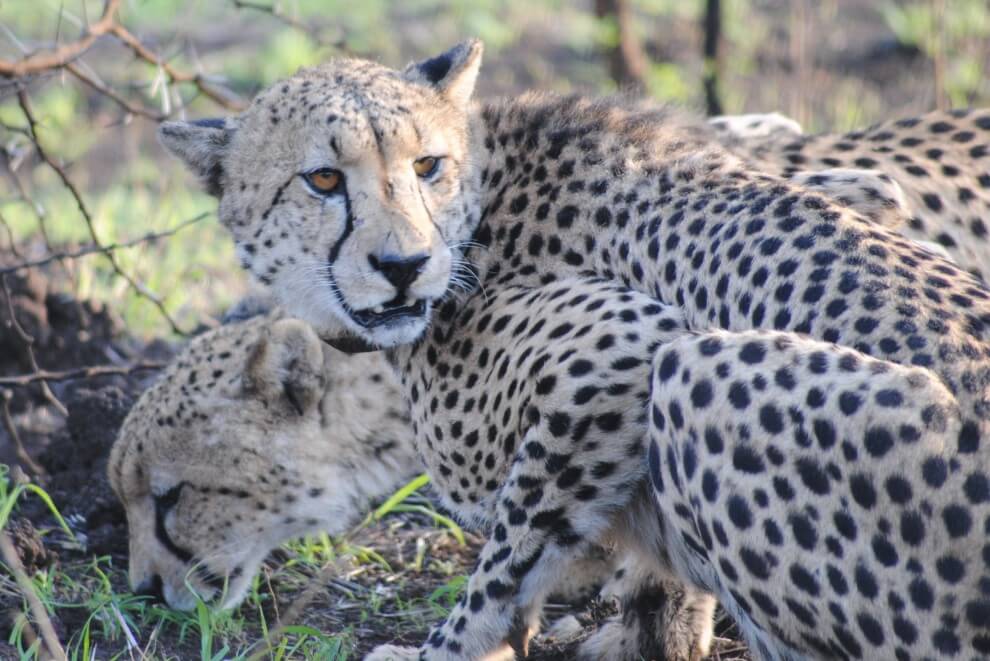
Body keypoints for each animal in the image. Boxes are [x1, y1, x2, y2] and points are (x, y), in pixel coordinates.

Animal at [158, 40, 990, 660]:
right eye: (324, 178)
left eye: (426, 165)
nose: (403, 266)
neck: (482, 203)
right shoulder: (858, 188)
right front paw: (655, 622)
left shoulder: (628, 343)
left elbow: (506, 557)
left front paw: (452, 646)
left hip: (700, 371)